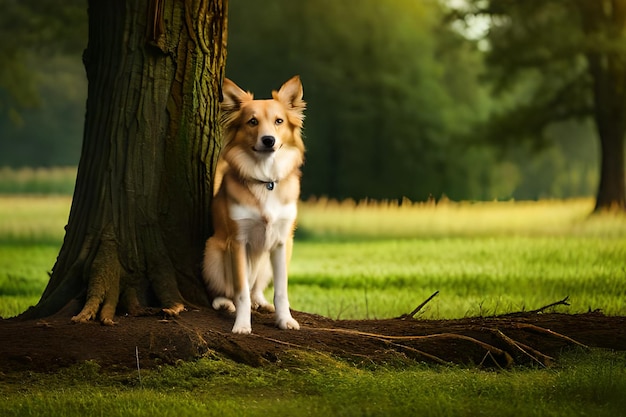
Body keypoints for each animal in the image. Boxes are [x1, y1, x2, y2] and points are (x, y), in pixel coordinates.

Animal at [202, 75, 304, 334]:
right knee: (226, 290)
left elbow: (281, 291)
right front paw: (241, 324)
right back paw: (225, 303)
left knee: (256, 286)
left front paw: (284, 319)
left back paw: (261, 301)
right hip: (213, 252)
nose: (268, 140)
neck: (265, 180)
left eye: (279, 121)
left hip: (270, 258)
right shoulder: (237, 241)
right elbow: (240, 293)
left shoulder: (282, 242)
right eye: (252, 121)